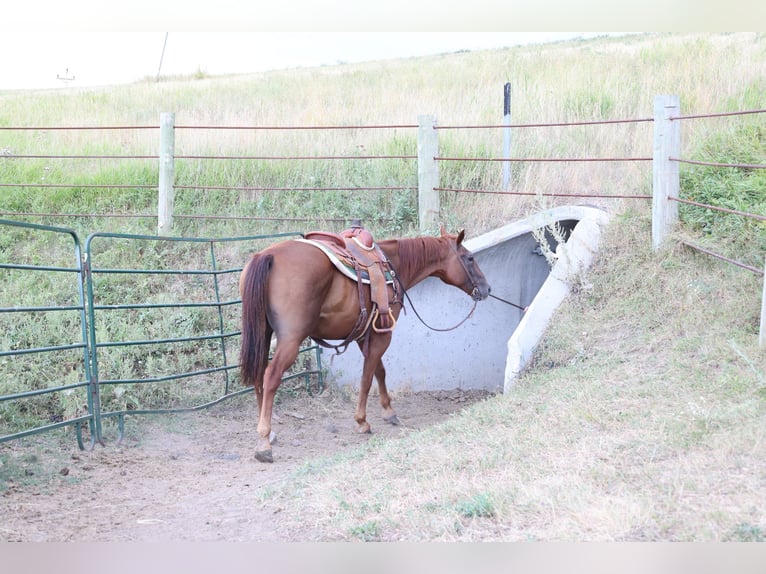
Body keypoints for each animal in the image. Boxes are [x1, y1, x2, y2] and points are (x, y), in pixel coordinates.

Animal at [239, 227, 491, 462]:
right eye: (469, 258)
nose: (487, 289)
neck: (393, 265)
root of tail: (268, 255)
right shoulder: (382, 334)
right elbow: (368, 377)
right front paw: (362, 421)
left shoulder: (366, 335)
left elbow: (378, 370)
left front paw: (388, 411)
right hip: (291, 339)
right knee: (271, 376)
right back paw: (264, 442)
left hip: (262, 334)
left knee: (259, 375)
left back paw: (269, 433)